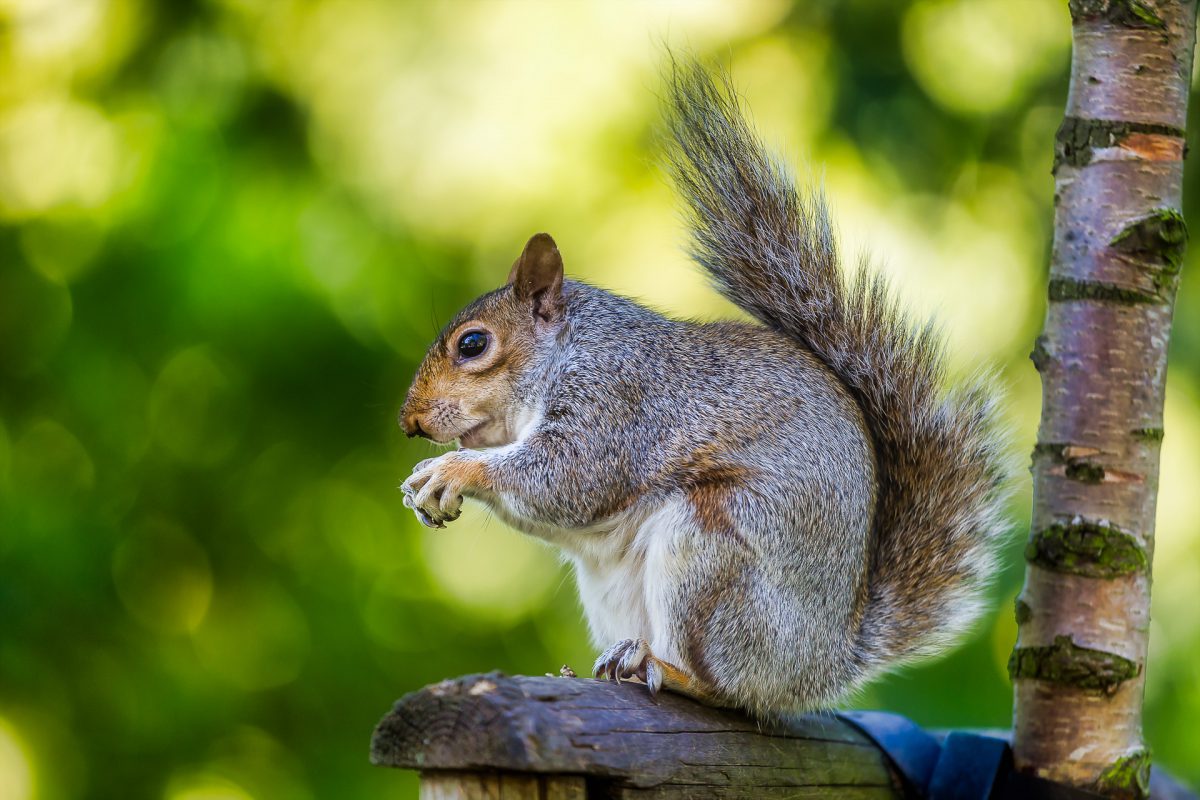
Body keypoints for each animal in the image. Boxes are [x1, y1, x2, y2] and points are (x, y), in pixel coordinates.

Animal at [398, 61, 1008, 714]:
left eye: (473, 345)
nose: (410, 422)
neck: (566, 350)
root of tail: (821, 668)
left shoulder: (617, 399)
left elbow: (570, 477)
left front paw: (451, 471)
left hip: (710, 554)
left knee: (726, 689)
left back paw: (662, 668)